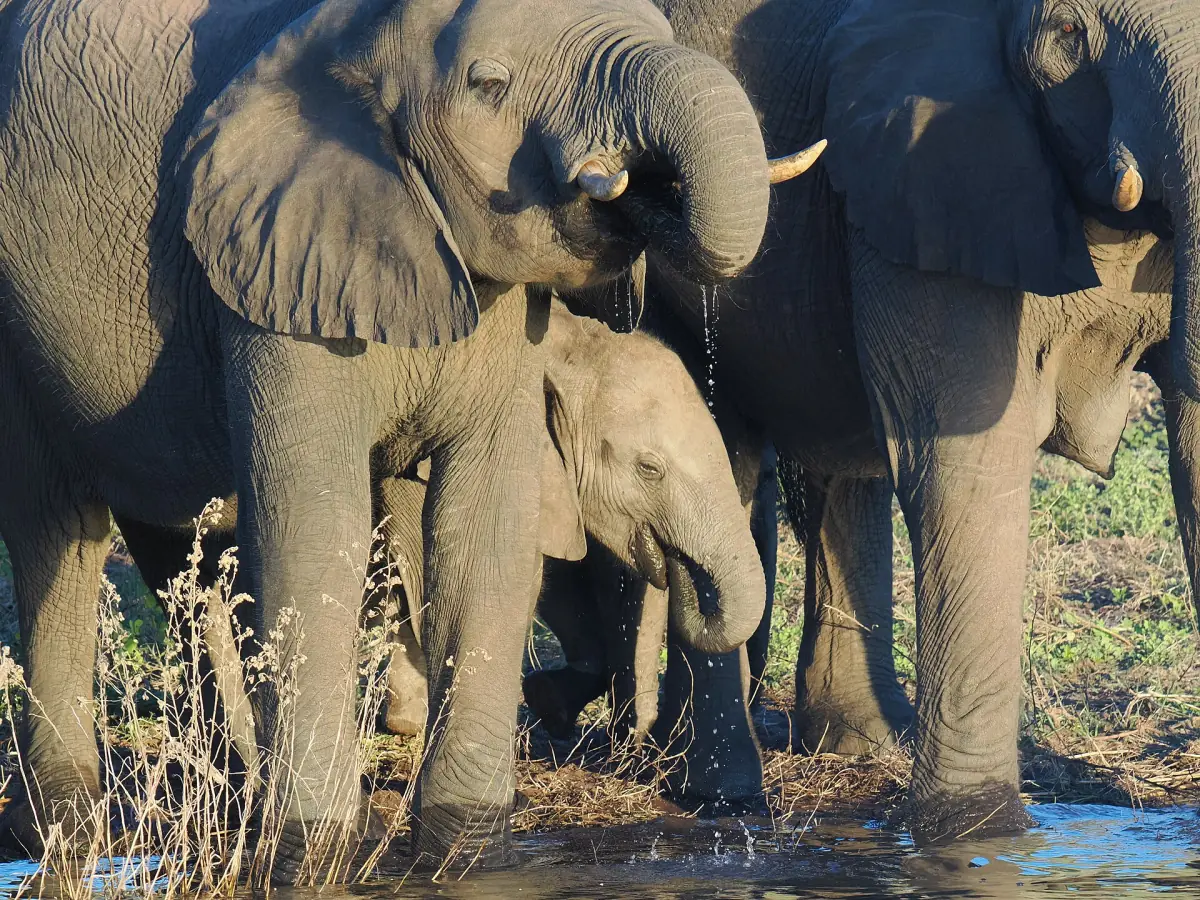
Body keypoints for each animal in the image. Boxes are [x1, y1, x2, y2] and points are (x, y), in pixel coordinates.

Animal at [0, 0, 806, 875]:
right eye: (490, 85)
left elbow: (483, 529)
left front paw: (467, 846)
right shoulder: (279, 270)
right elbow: (320, 530)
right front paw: (311, 854)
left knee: (181, 558)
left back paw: (235, 794)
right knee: (58, 538)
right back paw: (65, 832)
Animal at [550, 0, 1200, 845]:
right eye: (1069, 33)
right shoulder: (927, 174)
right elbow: (967, 462)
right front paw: (979, 834)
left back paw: (848, 746)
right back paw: (717, 792)